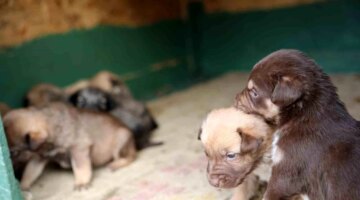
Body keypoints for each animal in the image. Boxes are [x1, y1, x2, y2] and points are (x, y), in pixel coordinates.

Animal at [3, 102, 136, 190]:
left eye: (13, 152)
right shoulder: (39, 158)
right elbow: (30, 172)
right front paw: (23, 185)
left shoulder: (78, 149)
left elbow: (80, 168)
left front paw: (81, 182)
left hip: (121, 140)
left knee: (131, 157)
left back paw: (117, 163)